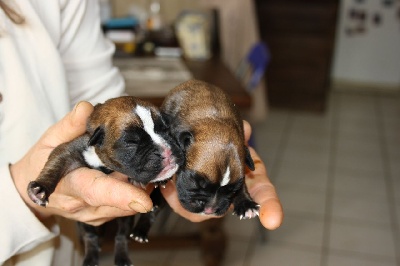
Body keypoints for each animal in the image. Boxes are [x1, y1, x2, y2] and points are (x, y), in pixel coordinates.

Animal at [27, 96, 184, 266]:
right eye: (132, 142)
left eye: (166, 130)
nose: (167, 151)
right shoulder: (69, 150)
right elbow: (55, 164)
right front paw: (40, 188)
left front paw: (161, 180)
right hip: (86, 223)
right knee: (91, 236)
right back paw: (91, 257)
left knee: (127, 231)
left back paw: (136, 237)